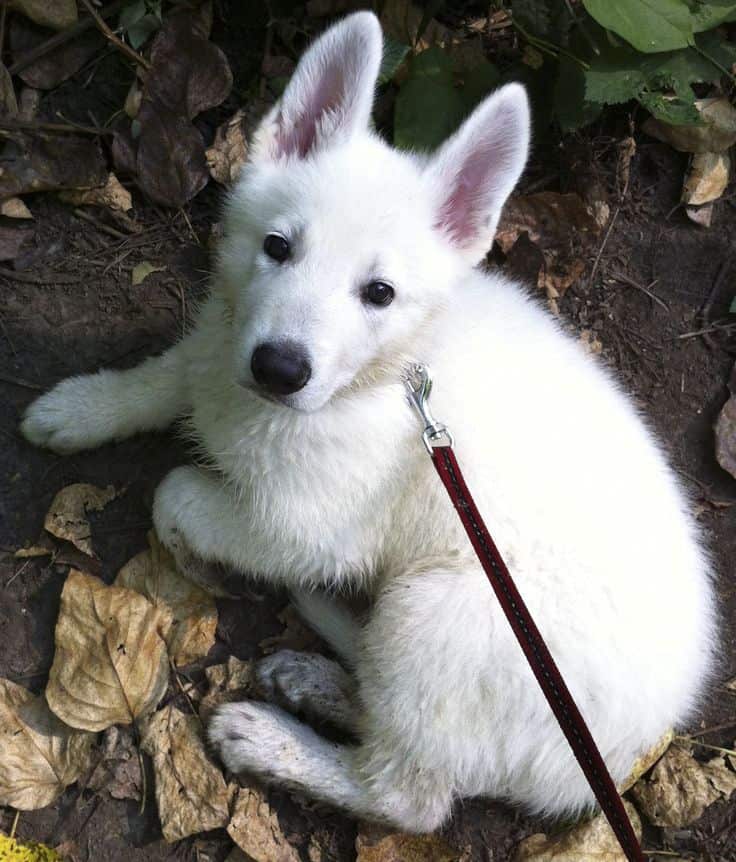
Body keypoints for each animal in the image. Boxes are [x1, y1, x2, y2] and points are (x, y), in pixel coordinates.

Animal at [21, 11, 712, 836]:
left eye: (379, 293)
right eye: (277, 247)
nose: (280, 368)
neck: (381, 379)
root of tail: (617, 756)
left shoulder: (304, 529)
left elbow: (177, 491)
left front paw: (190, 544)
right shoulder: (223, 346)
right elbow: (170, 375)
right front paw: (83, 406)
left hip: (436, 617)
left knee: (408, 794)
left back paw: (276, 741)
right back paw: (318, 681)